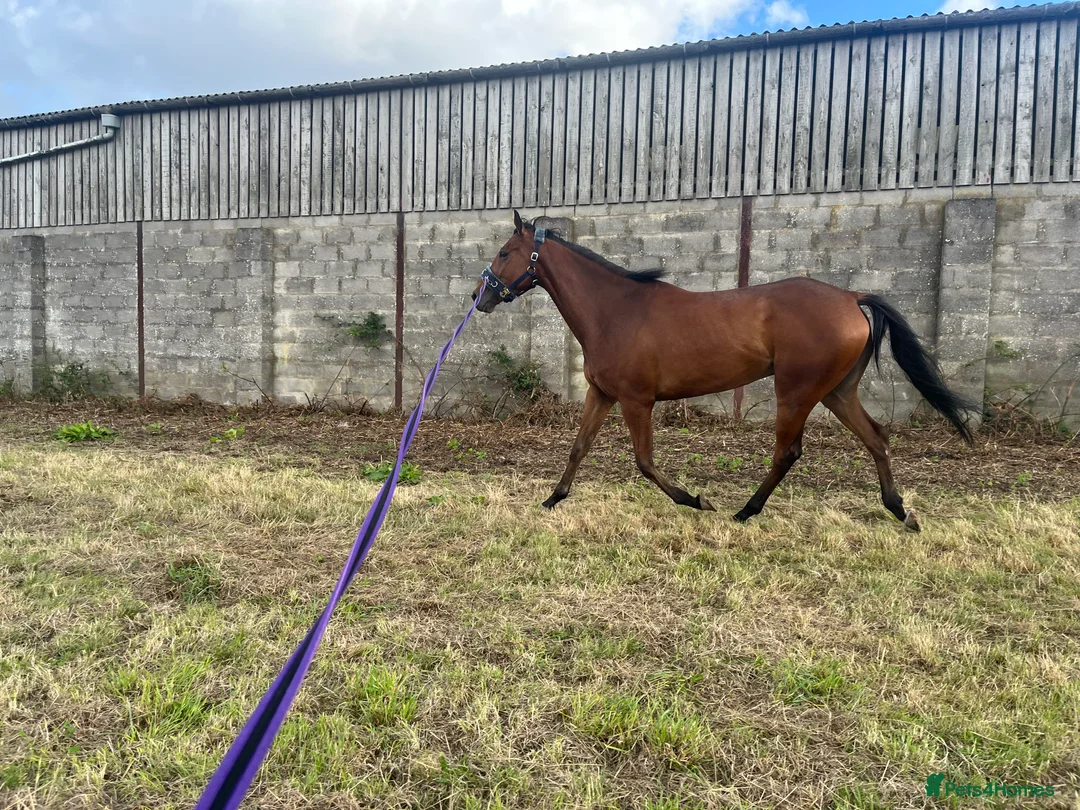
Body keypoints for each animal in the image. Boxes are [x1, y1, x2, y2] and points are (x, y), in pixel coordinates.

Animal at [471, 211, 979, 530]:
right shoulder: (603, 394)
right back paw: (900, 511)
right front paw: (552, 499)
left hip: (797, 392)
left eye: (504, 252)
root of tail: (852, 298)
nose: (481, 296)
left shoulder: (637, 400)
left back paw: (744, 511)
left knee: (788, 452)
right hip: (837, 392)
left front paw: (697, 500)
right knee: (877, 438)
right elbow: (578, 448)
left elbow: (645, 463)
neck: (615, 310)